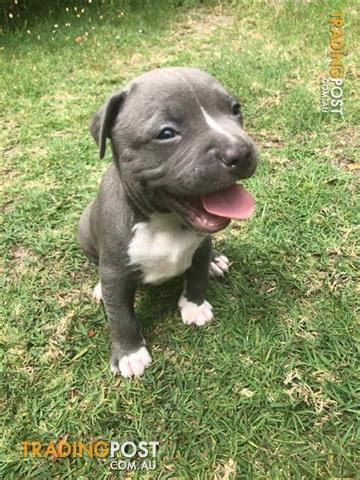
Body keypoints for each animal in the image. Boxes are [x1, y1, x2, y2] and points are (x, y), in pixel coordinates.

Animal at [80, 66, 258, 378]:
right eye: (166, 133)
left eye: (235, 109)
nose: (242, 152)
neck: (163, 222)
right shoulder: (115, 272)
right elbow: (120, 316)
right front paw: (129, 354)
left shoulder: (199, 247)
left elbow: (197, 278)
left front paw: (194, 307)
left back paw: (216, 261)